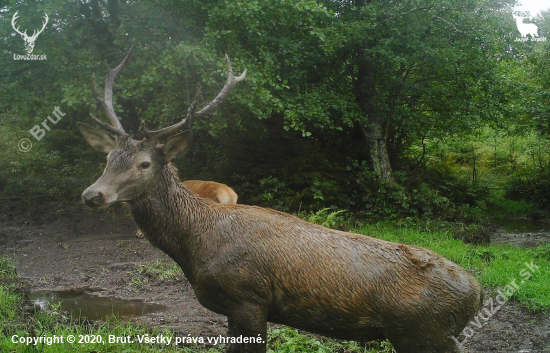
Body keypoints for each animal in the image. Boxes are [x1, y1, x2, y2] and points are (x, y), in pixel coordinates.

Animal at [77, 48, 484, 350]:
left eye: (145, 163)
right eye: (107, 159)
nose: (92, 195)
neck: (195, 246)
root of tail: (477, 294)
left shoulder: (249, 298)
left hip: (424, 332)